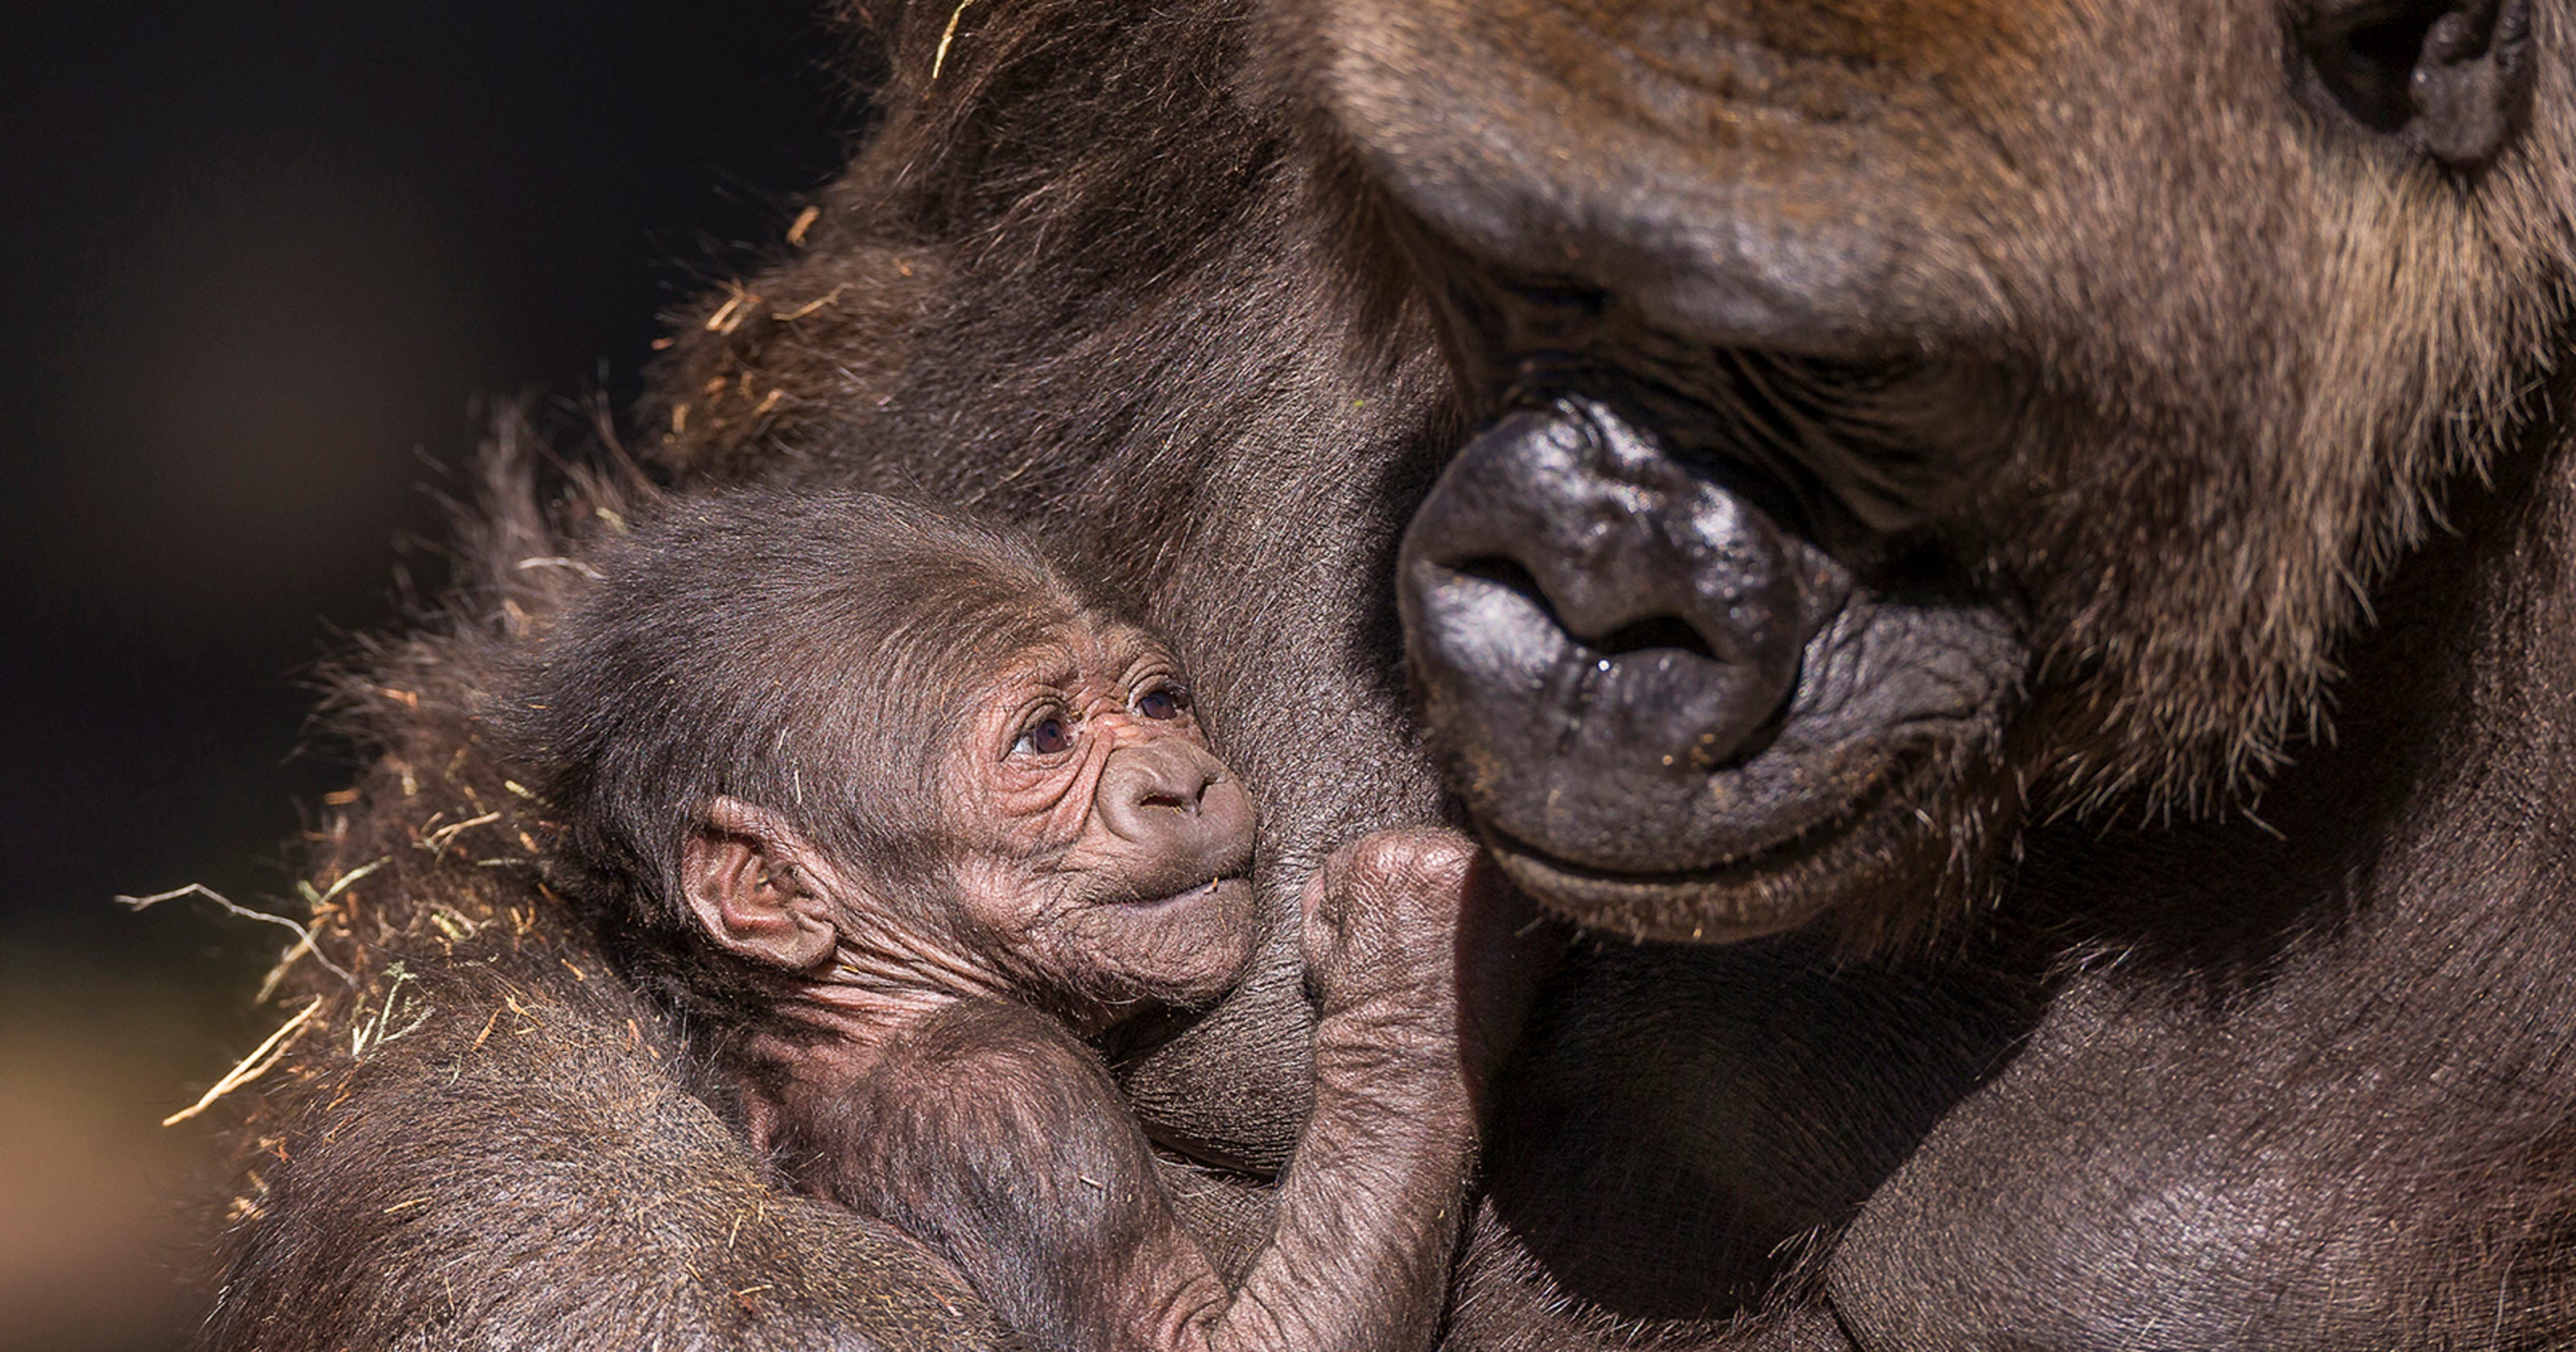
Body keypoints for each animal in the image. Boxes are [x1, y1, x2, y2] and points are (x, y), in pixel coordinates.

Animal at [505, 489, 1504, 1349]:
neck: (866, 1001)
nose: (1178, 783)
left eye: (1157, 704)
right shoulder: (1010, 1102)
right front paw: (1412, 961)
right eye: (1046, 738)